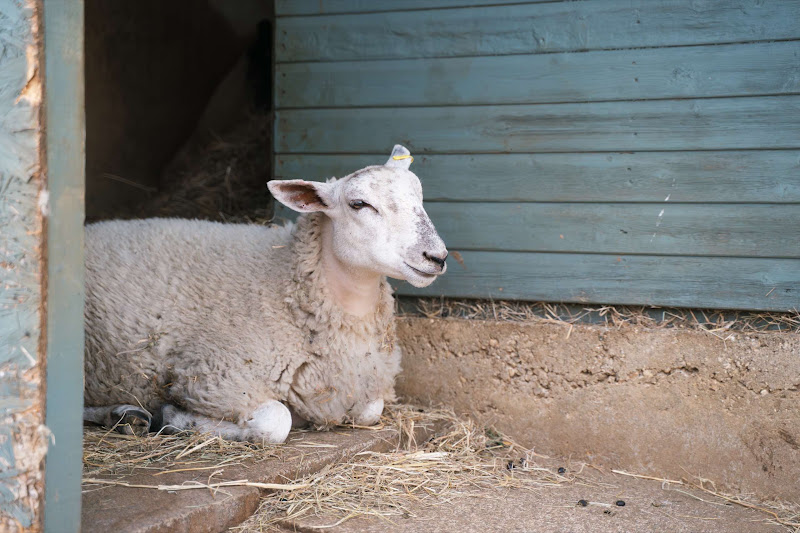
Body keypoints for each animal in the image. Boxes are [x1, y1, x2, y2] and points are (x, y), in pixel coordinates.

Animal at [83, 145, 448, 443]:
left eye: (419, 198)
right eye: (359, 204)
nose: (437, 256)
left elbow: (372, 409)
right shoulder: (215, 380)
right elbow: (275, 422)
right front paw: (174, 417)